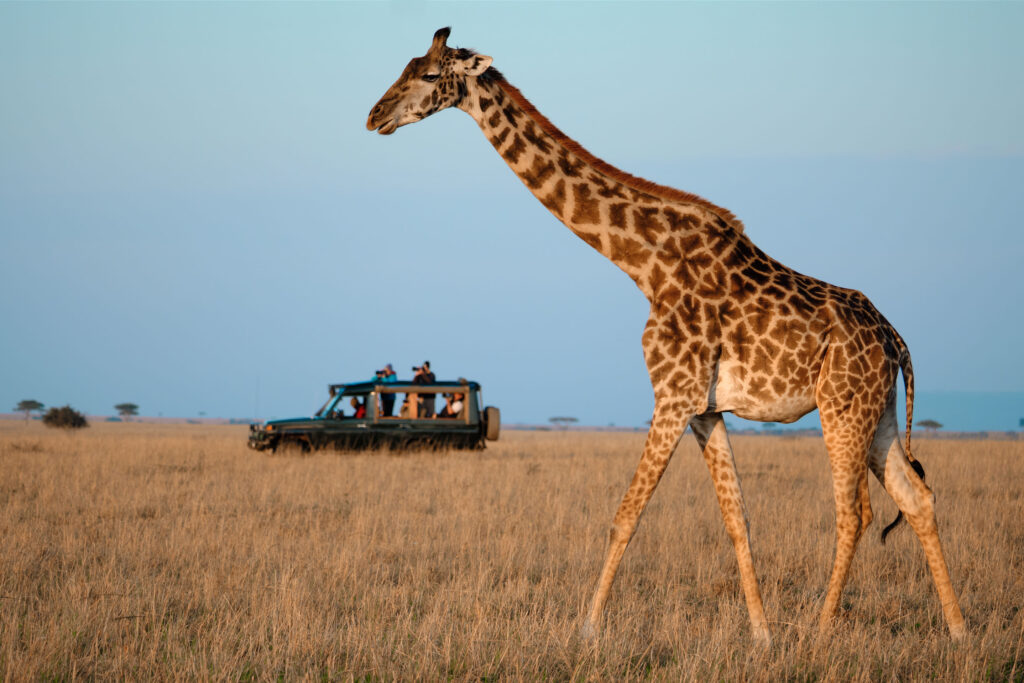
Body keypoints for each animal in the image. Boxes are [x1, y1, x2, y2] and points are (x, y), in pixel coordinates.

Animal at [367, 27, 966, 644]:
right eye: (405, 67)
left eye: (430, 75)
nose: (375, 116)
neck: (643, 264)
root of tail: (895, 339)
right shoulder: (705, 408)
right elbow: (737, 520)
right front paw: (761, 636)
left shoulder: (672, 394)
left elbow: (625, 514)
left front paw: (587, 630)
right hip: (879, 410)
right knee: (917, 497)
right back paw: (959, 630)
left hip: (841, 406)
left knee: (855, 513)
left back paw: (821, 634)